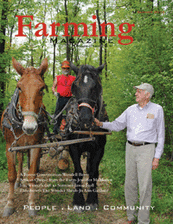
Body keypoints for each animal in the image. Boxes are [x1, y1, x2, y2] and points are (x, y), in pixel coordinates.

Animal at [0, 57, 48, 217]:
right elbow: (11, 175)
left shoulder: (35, 146)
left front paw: (32, 204)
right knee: (20, 160)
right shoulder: (9, 146)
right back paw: (19, 180)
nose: (30, 128)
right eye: (19, 87)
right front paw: (9, 204)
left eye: (42, 88)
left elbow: (32, 174)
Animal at [67, 62, 109, 211]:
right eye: (74, 86)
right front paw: (78, 200)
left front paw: (92, 199)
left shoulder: (100, 149)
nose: (85, 119)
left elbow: (93, 173)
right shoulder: (73, 147)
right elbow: (78, 172)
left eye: (96, 86)